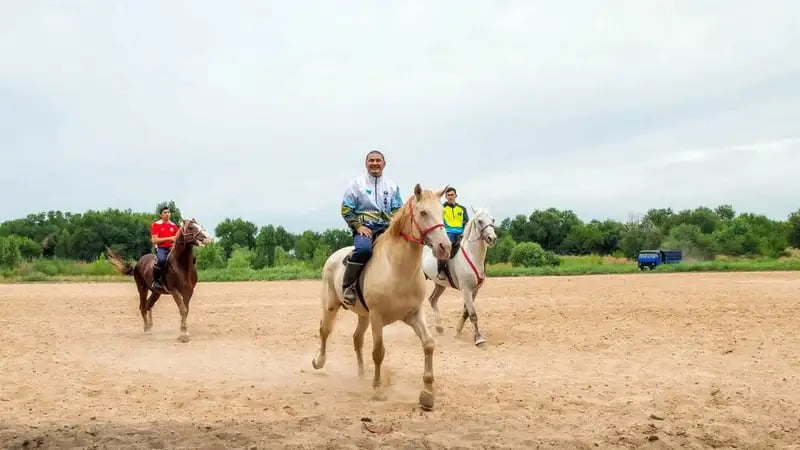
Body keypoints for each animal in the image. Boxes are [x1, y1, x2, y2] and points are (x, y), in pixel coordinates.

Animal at [310, 184, 450, 412]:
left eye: (442, 212)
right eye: (423, 212)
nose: (445, 247)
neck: (397, 268)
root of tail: (334, 256)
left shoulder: (414, 314)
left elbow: (429, 344)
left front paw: (427, 394)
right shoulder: (377, 316)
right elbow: (378, 351)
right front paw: (378, 390)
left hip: (363, 316)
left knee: (357, 339)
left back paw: (361, 374)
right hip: (331, 306)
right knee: (324, 331)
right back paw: (319, 362)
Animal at [422, 208, 496, 348]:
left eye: (493, 220)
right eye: (480, 221)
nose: (492, 238)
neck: (472, 255)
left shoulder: (474, 291)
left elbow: (466, 312)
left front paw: (457, 332)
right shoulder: (466, 290)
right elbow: (473, 315)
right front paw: (479, 339)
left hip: (439, 284)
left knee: (432, 300)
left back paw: (439, 327)